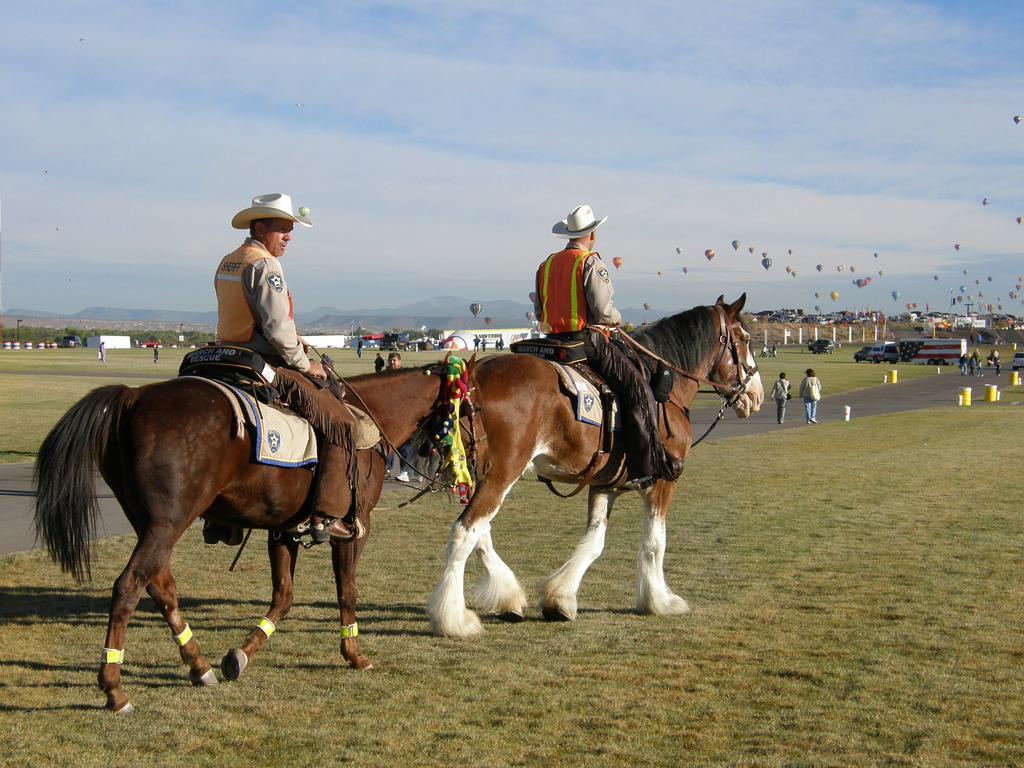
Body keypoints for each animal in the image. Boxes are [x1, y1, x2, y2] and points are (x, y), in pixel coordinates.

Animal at [34, 364, 460, 716]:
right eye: (466, 408)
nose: (466, 460)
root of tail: (132, 398)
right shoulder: (356, 529)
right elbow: (347, 591)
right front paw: (354, 654)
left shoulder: (284, 530)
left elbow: (283, 597)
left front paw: (241, 653)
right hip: (166, 524)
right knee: (128, 587)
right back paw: (114, 690)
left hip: (151, 525)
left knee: (160, 586)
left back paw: (199, 667)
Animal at [423, 296, 761, 638]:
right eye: (745, 339)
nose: (756, 395)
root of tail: (475, 377)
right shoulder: (663, 483)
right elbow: (655, 542)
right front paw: (659, 601)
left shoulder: (604, 485)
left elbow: (595, 541)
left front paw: (559, 599)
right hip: (502, 474)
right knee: (464, 533)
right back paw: (454, 619)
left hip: (481, 475)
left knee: (481, 533)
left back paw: (508, 598)